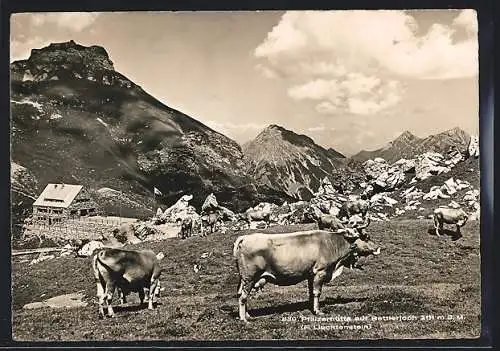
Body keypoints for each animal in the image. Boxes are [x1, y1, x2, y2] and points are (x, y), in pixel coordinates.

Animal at [233, 227, 378, 324]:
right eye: (366, 237)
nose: (377, 248)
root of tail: (245, 237)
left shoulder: (310, 274)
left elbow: (310, 292)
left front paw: (311, 307)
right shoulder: (320, 272)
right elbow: (316, 292)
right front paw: (318, 311)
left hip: (244, 279)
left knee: (241, 294)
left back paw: (248, 315)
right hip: (249, 277)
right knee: (243, 297)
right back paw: (244, 319)